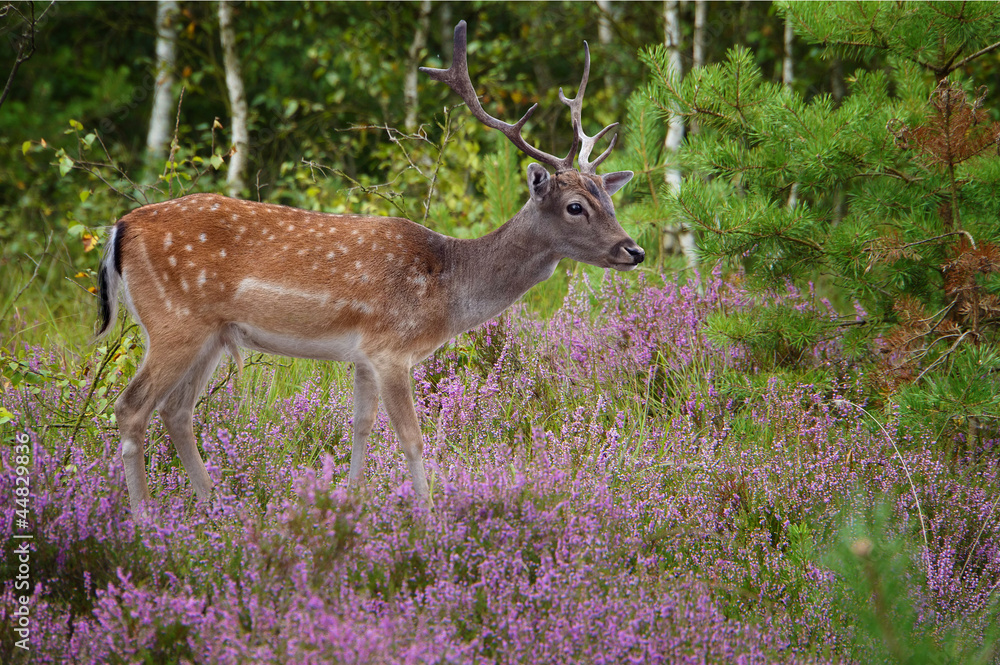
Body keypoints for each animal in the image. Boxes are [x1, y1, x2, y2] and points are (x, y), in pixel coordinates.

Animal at [96, 20, 644, 515]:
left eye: (609, 199)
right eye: (575, 206)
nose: (633, 251)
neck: (447, 287)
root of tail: (120, 227)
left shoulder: (361, 355)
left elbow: (359, 427)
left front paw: (350, 505)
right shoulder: (390, 349)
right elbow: (411, 438)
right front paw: (428, 520)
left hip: (210, 334)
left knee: (177, 411)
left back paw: (215, 508)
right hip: (174, 322)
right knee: (130, 406)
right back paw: (145, 522)